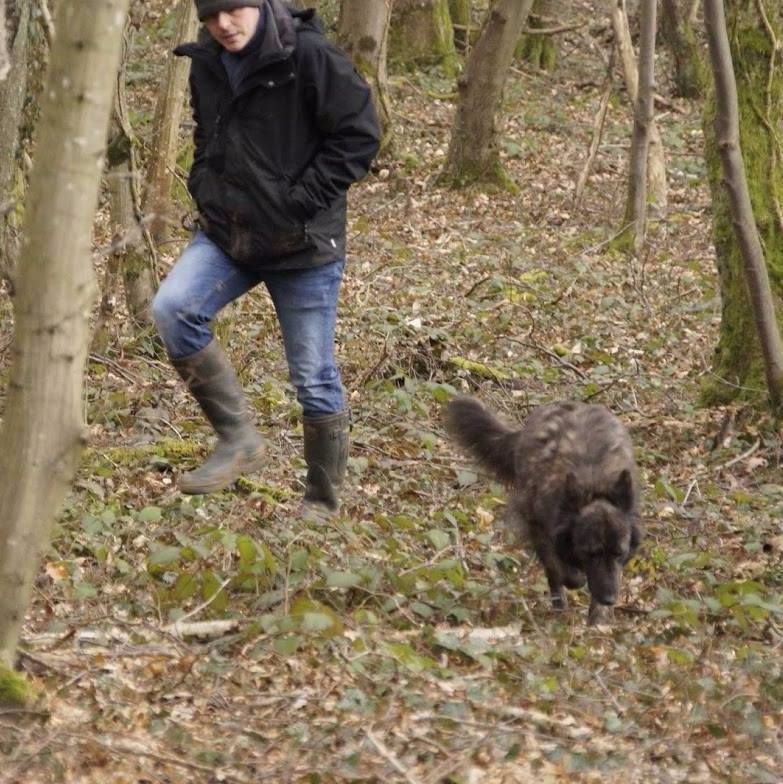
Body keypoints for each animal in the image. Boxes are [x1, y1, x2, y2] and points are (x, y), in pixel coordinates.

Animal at [448, 396, 644, 620]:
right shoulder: (537, 526)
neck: (593, 481)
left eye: (619, 553)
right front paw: (573, 582)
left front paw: (598, 617)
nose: (609, 599)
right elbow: (559, 569)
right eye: (591, 553)